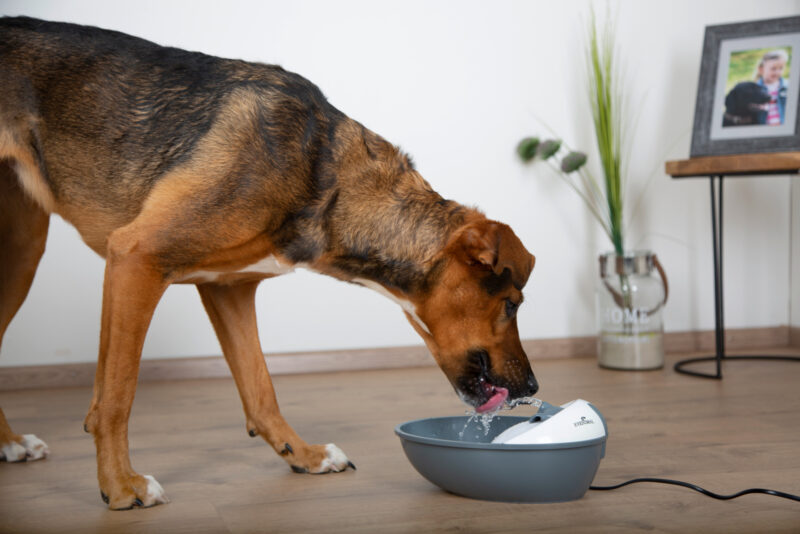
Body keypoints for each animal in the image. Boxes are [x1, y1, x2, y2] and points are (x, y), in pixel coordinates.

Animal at [1, 16, 536, 510]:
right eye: (511, 305)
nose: (532, 386)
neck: (323, 176)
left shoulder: (228, 288)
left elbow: (261, 390)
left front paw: (303, 455)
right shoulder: (135, 257)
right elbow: (116, 396)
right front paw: (119, 486)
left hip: (22, 253)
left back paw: (11, 444)